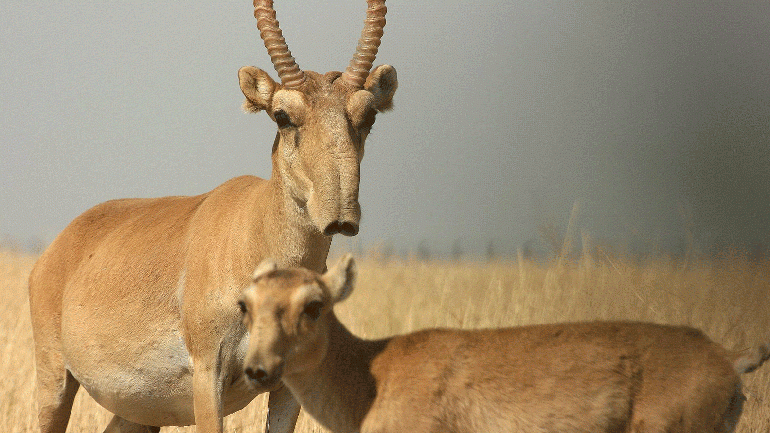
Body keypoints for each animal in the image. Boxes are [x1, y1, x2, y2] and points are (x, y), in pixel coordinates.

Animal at [28, 1, 396, 430]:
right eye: (282, 115)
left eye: (368, 116)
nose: (339, 215)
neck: (253, 228)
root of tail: (58, 248)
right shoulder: (208, 376)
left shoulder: (288, 389)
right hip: (55, 383)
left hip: (136, 413)